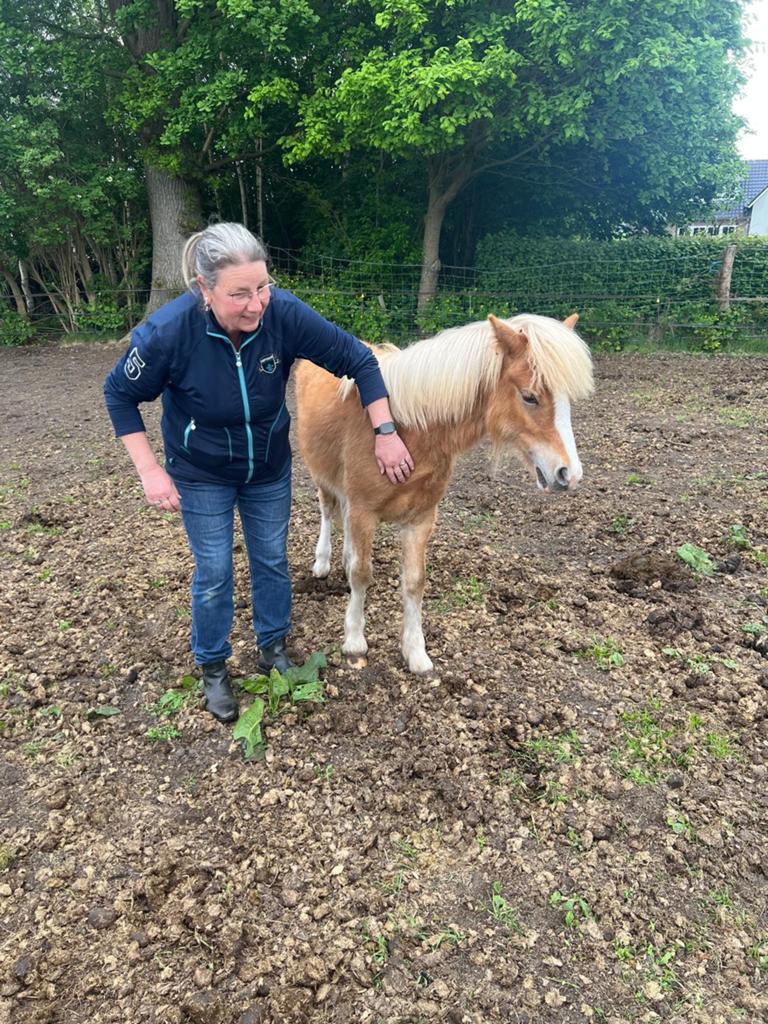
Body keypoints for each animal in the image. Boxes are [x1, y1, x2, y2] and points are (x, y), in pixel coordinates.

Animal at [294, 313, 594, 673]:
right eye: (529, 396)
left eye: (566, 400)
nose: (569, 474)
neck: (404, 429)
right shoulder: (364, 511)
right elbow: (361, 574)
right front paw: (354, 642)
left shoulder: (420, 519)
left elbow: (414, 583)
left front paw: (416, 653)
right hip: (322, 476)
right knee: (327, 510)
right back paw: (323, 562)